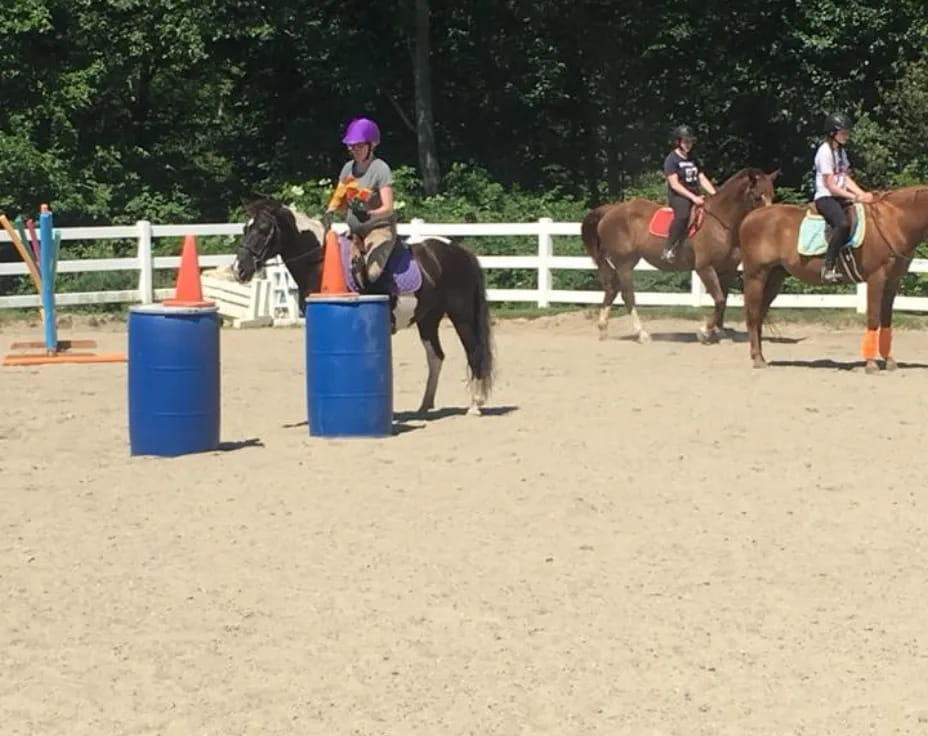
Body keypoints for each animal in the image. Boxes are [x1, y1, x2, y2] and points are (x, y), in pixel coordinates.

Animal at [580, 170, 776, 344]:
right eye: (757, 196)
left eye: (771, 194)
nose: (768, 222)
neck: (721, 223)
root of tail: (610, 210)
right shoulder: (705, 268)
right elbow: (719, 300)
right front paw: (704, 332)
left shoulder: (727, 270)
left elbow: (723, 301)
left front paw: (720, 333)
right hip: (624, 264)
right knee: (627, 295)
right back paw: (642, 334)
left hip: (626, 262)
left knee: (611, 290)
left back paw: (603, 328)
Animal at [740, 187, 928, 370]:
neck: (892, 222)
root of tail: (750, 217)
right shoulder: (876, 278)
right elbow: (874, 318)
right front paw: (871, 364)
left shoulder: (892, 282)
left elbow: (887, 319)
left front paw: (889, 361)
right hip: (756, 276)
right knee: (753, 315)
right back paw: (758, 359)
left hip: (774, 277)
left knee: (760, 314)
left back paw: (761, 357)